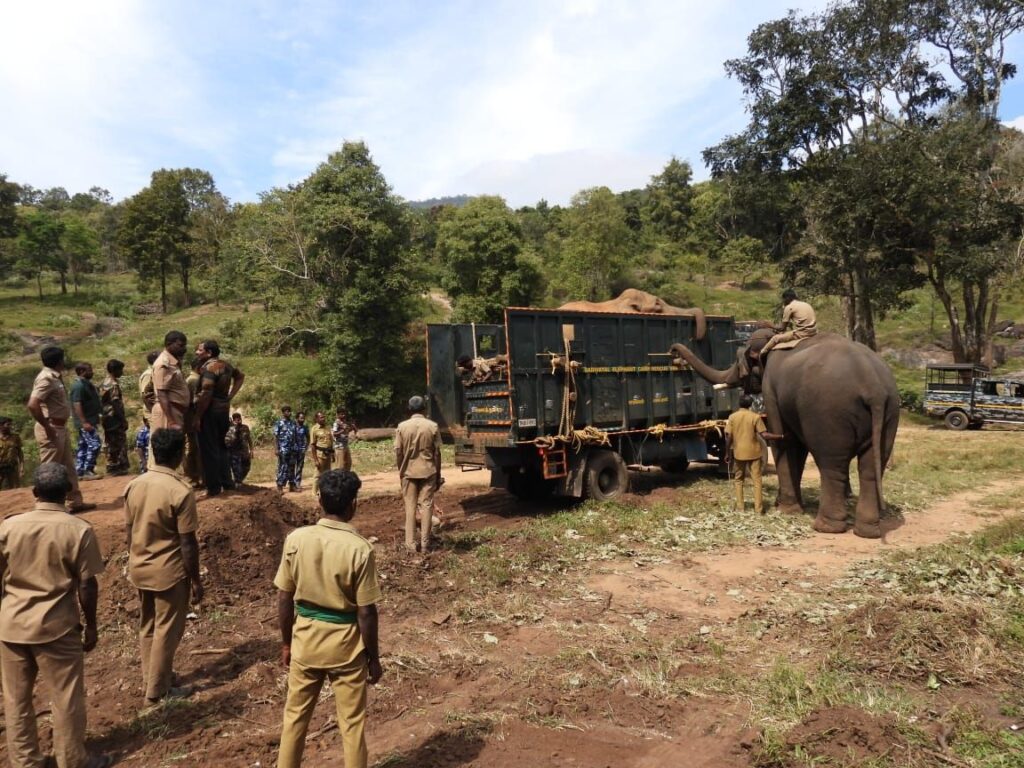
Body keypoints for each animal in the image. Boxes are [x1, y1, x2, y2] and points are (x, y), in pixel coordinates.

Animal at [671, 331, 897, 540]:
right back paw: (867, 532)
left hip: (829, 415)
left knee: (832, 464)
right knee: (870, 468)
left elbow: (785, 441)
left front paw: (785, 509)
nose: (674, 352)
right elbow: (796, 447)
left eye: (737, 361)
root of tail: (873, 388)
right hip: (889, 414)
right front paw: (787, 503)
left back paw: (825, 527)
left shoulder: (770, 389)